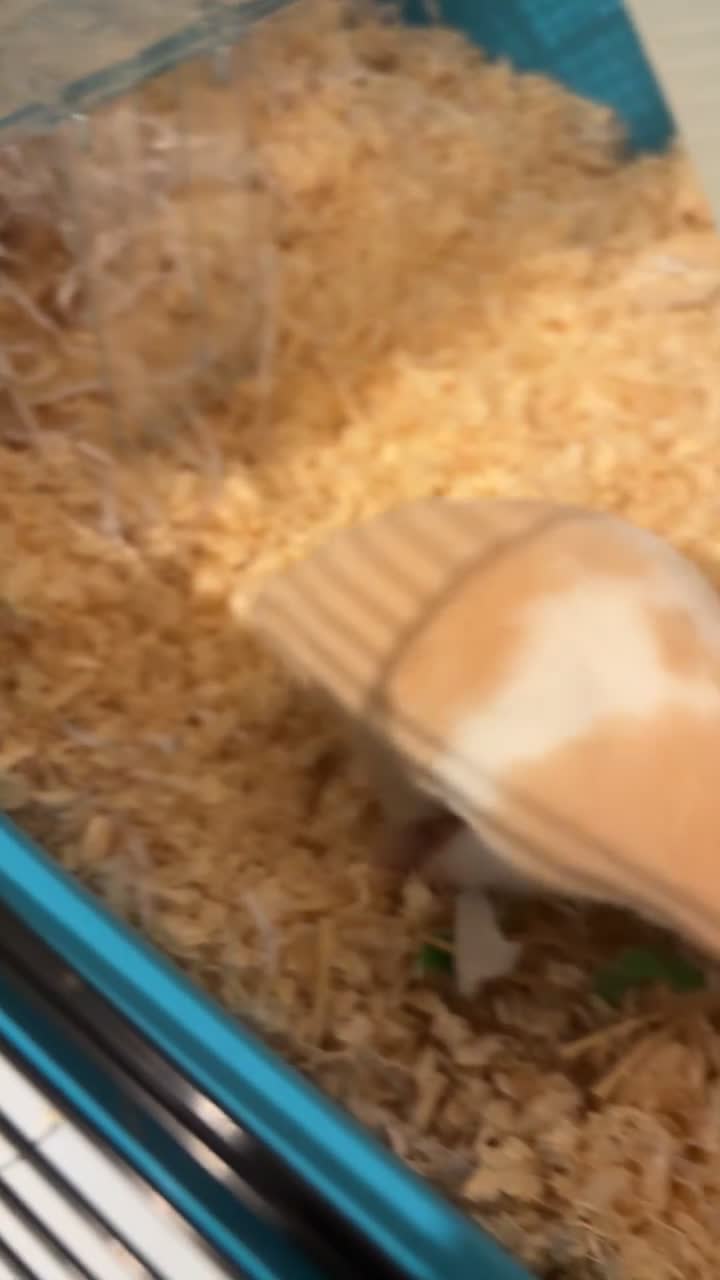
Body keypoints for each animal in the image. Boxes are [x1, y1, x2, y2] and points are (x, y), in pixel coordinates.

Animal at [250, 496, 720, 994]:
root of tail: (281, 590)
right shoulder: (521, 849)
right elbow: (465, 861)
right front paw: (424, 876)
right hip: (384, 751)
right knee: (401, 816)